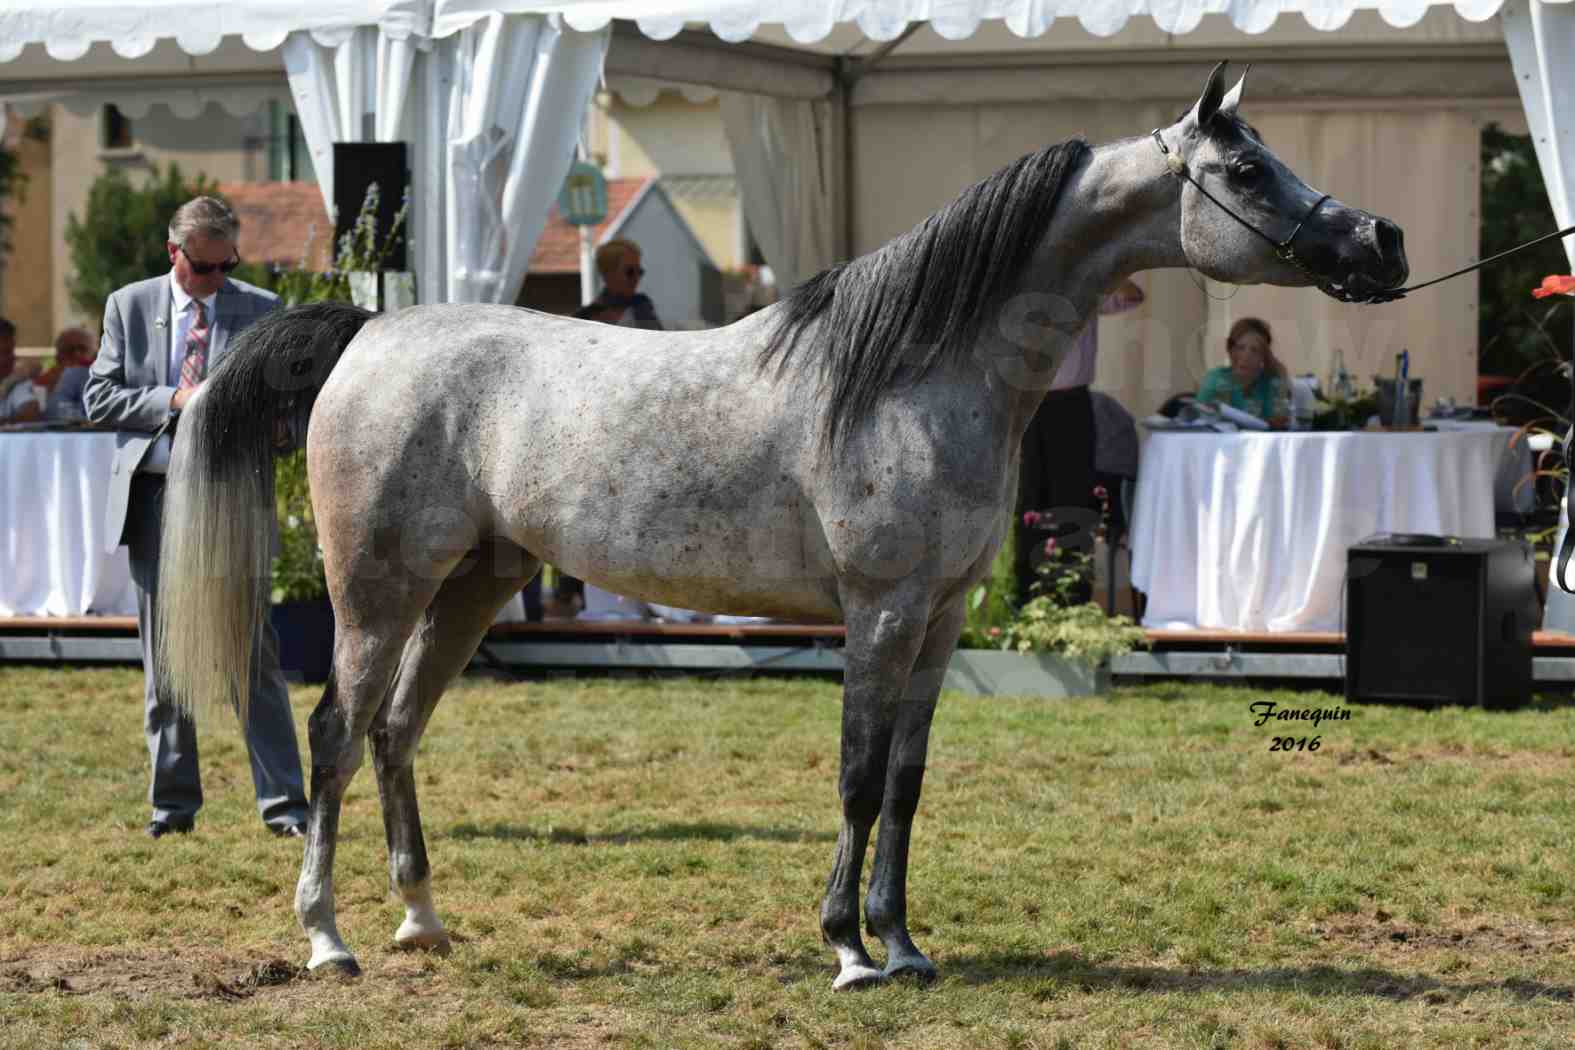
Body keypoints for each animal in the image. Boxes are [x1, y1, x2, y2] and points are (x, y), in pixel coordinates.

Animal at [159, 67, 1411, 994]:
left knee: (396, 732)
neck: (914, 370)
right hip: (377, 590)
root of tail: (369, 334)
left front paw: (905, 945)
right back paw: (329, 937)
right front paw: (850, 951)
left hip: (472, 585)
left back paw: (422, 918)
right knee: (333, 735)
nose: (1381, 242)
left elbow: (905, 783)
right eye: (1246, 168)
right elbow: (856, 777)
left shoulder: (941, 621)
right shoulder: (882, 612)